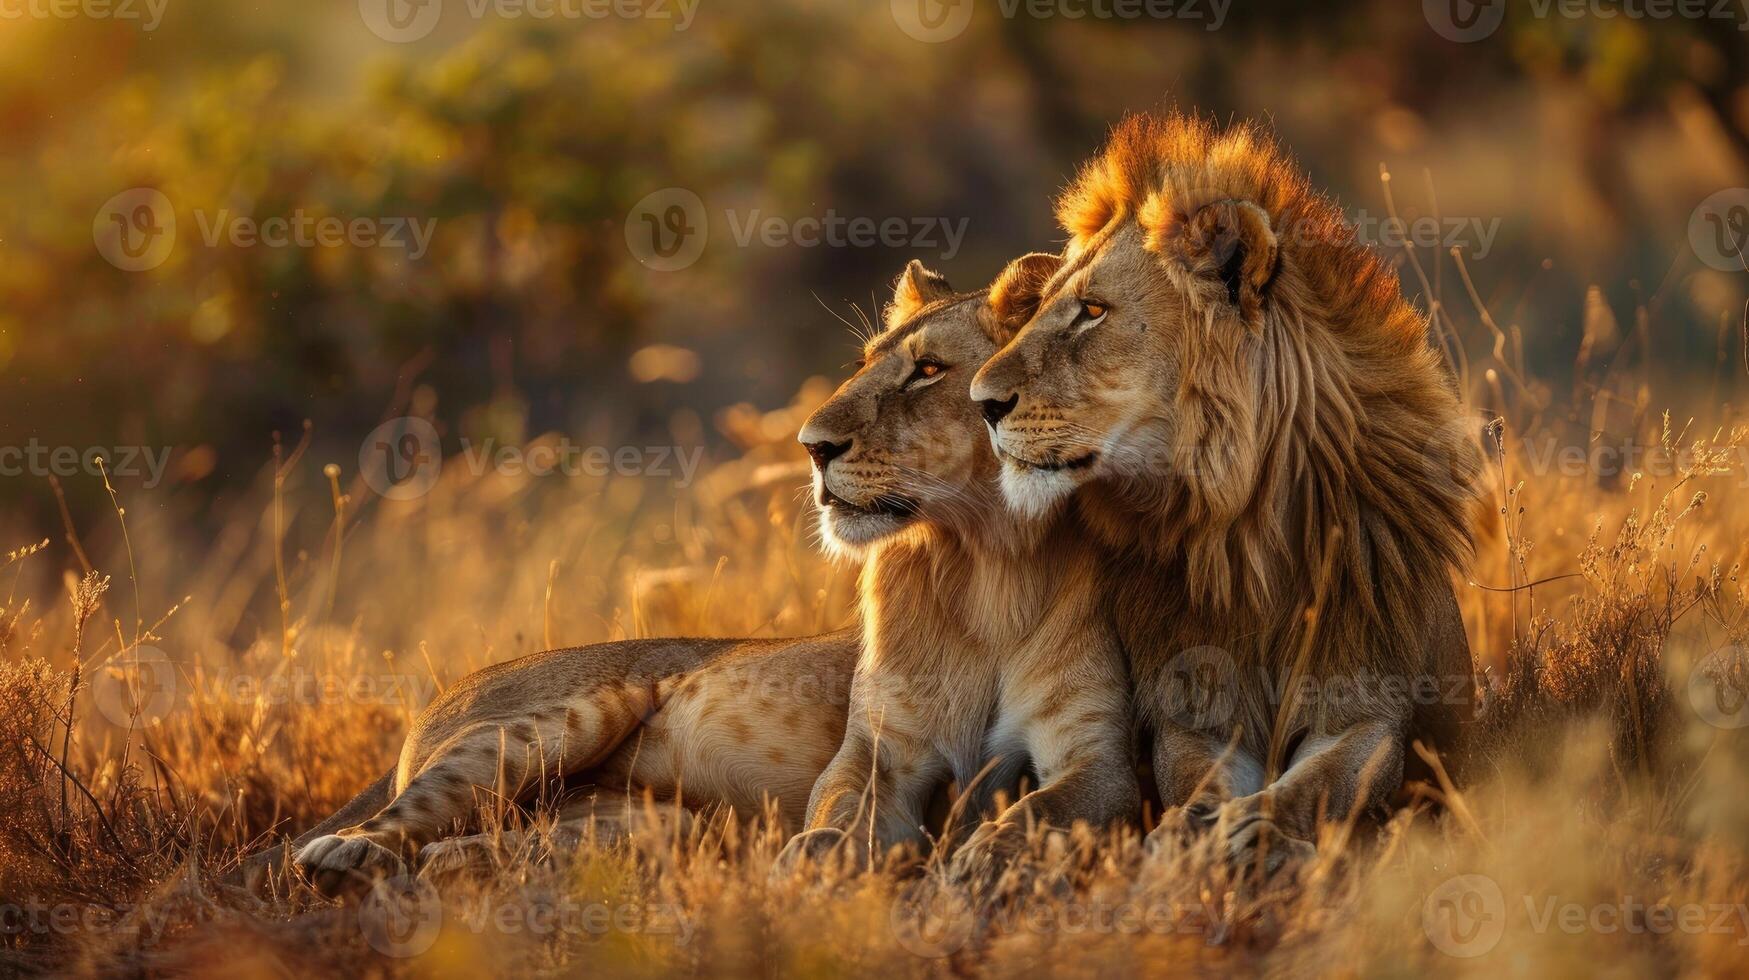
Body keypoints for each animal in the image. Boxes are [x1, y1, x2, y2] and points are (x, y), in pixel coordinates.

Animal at [972, 112, 1476, 871]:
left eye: (1091, 310)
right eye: (1039, 309)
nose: (980, 402)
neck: (1247, 528)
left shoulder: (1365, 704)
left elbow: (1323, 780)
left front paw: (1258, 828)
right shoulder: (1199, 710)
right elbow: (1195, 783)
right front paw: (1187, 836)